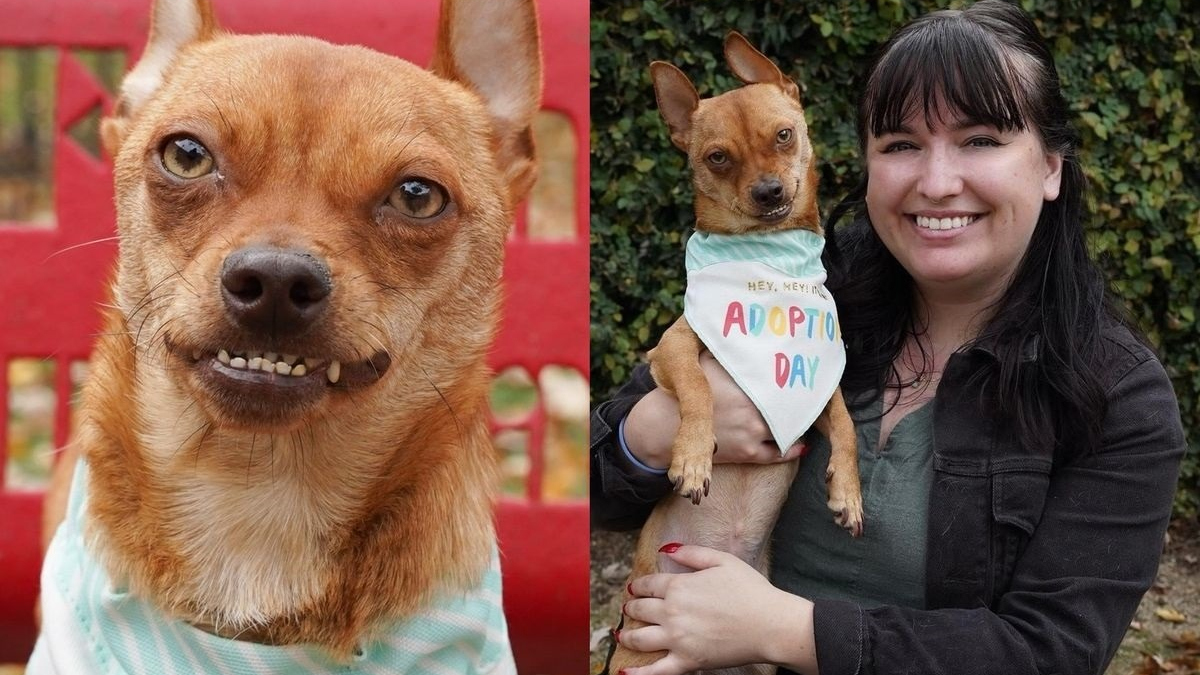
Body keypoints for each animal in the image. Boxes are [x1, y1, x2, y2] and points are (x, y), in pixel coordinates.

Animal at [609, 32, 864, 672]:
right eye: (717, 158)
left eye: (785, 135)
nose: (769, 191)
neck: (768, 267)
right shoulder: (670, 349)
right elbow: (699, 388)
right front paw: (695, 457)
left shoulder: (820, 380)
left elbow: (847, 426)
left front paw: (848, 493)